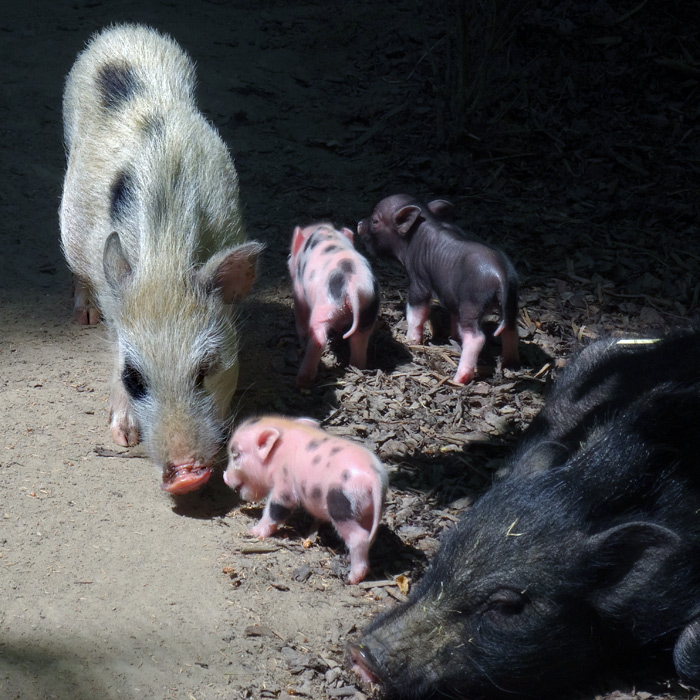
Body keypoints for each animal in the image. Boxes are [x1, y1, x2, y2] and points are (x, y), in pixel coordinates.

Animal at [58, 24, 262, 494]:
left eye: (205, 370)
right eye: (134, 378)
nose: (186, 475)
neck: (164, 258)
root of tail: (124, 32)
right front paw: (121, 435)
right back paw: (84, 317)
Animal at [226, 416, 386, 584]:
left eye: (236, 454)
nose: (225, 477)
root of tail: (375, 477)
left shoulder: (284, 482)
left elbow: (277, 507)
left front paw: (253, 531)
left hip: (341, 504)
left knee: (359, 537)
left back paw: (352, 579)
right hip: (367, 511)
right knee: (368, 534)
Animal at [288, 224, 380, 388]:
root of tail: (352, 287)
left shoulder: (298, 290)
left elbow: (301, 312)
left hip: (324, 307)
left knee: (319, 340)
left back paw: (302, 382)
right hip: (369, 309)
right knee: (359, 338)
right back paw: (357, 367)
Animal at [358, 194, 516, 386]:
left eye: (375, 220)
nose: (359, 224)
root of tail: (500, 275)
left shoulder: (419, 281)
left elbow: (416, 313)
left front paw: (410, 340)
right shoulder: (450, 292)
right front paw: (454, 337)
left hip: (472, 304)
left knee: (476, 337)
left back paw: (459, 379)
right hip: (512, 301)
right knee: (510, 329)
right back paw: (511, 363)